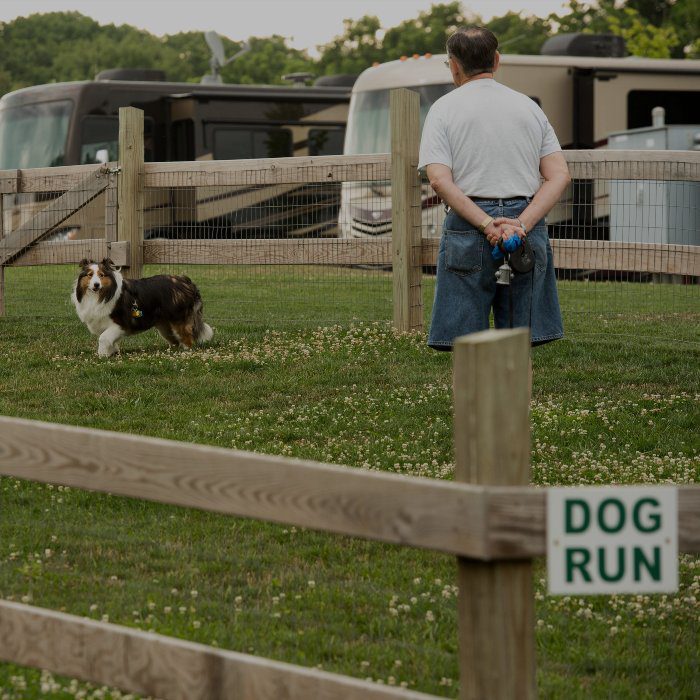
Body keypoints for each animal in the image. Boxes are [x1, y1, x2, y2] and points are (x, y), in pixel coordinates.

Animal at [71, 258, 215, 358]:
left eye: (101, 275)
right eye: (90, 275)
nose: (96, 285)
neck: (101, 295)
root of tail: (186, 282)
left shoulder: (120, 324)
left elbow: (103, 338)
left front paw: (102, 356)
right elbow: (111, 341)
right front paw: (112, 352)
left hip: (179, 320)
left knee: (187, 339)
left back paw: (185, 352)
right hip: (165, 327)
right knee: (175, 340)